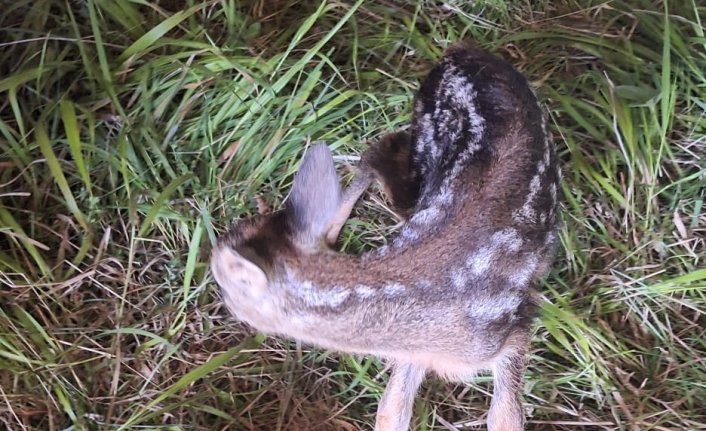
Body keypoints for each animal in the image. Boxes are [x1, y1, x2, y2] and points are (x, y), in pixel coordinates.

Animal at [212, 42, 560, 430]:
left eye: (220, 278)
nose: (222, 303)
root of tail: (458, 52)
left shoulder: (511, 329)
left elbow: (505, 415)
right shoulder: (413, 353)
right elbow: (391, 411)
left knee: (381, 150)